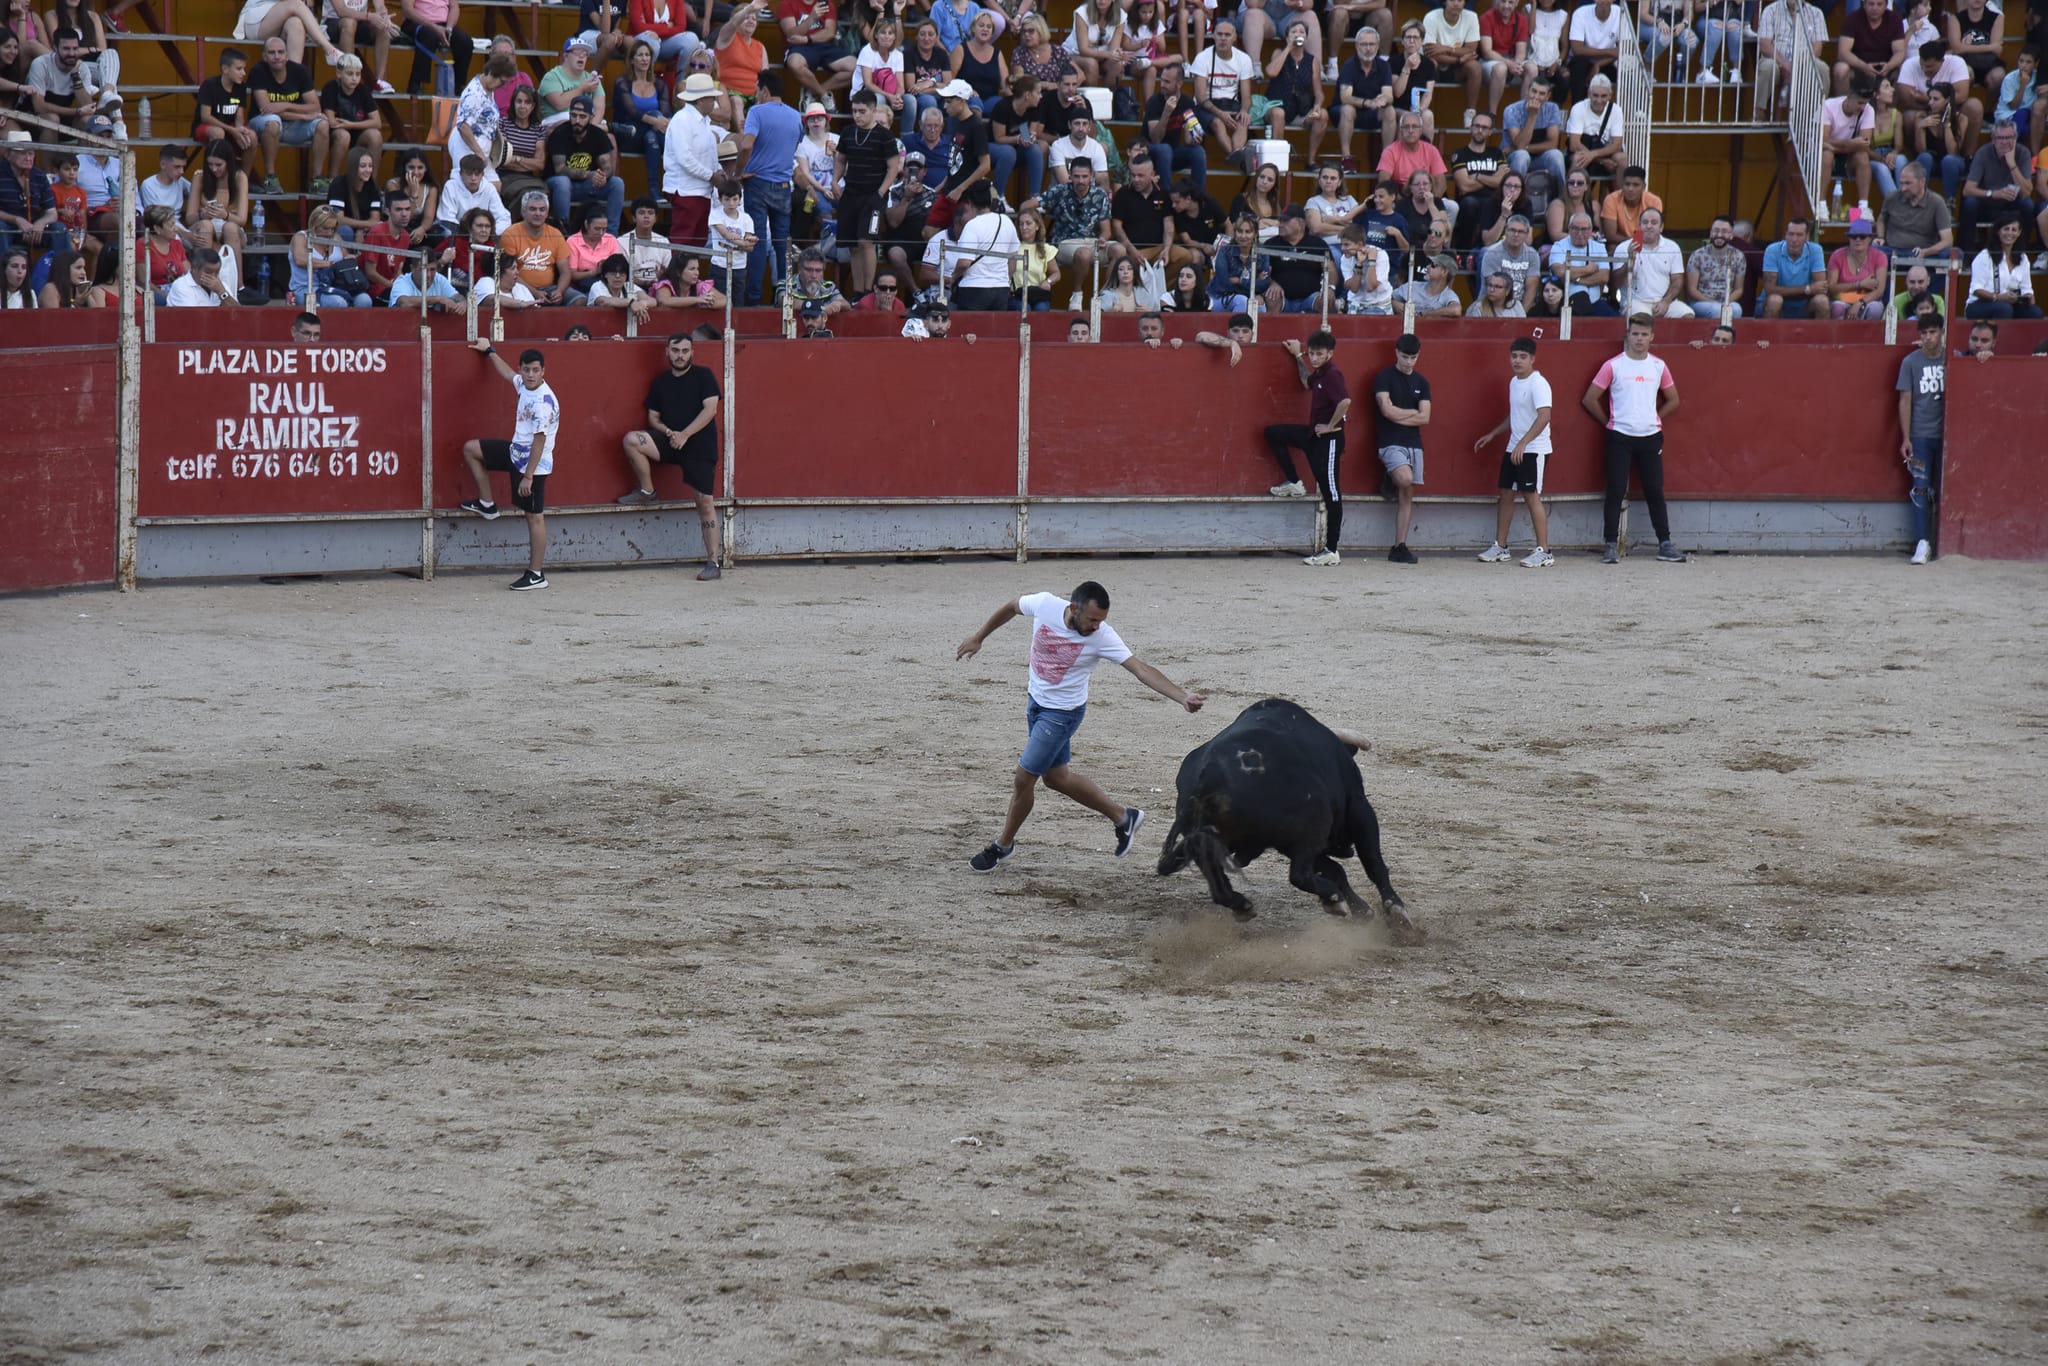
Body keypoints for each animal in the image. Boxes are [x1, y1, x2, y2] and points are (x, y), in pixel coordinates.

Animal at [1156, 698, 1419, 939]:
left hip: (1208, 843)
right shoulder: (1359, 811)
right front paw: (1397, 913)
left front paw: (1362, 910)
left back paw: (1243, 906)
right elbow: (1373, 864)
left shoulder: (1290, 845)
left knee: (1219, 886)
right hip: (1316, 822)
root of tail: (1207, 777)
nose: (1346, 850)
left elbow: (1336, 870)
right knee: (1299, 875)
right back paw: (1333, 899)